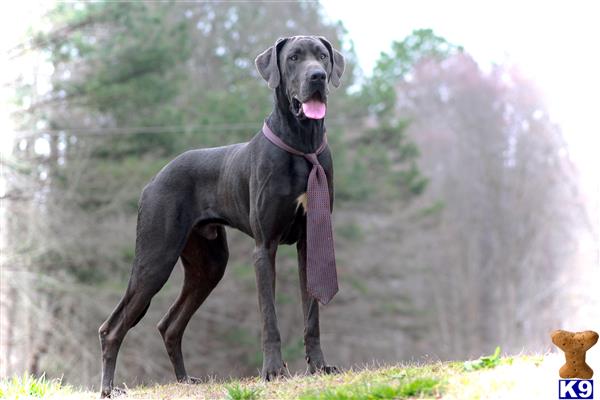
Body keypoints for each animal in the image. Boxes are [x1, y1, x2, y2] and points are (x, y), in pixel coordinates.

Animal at [96, 35, 344, 396]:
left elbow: (311, 313)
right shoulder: (264, 247)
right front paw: (273, 370)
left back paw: (184, 380)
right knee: (112, 327)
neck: (302, 145)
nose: (317, 77)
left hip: (209, 265)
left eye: (322, 56)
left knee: (169, 325)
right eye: (294, 58)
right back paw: (108, 388)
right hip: (154, 259)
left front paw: (320, 366)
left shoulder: (312, 242)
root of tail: (154, 179)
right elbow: (269, 316)